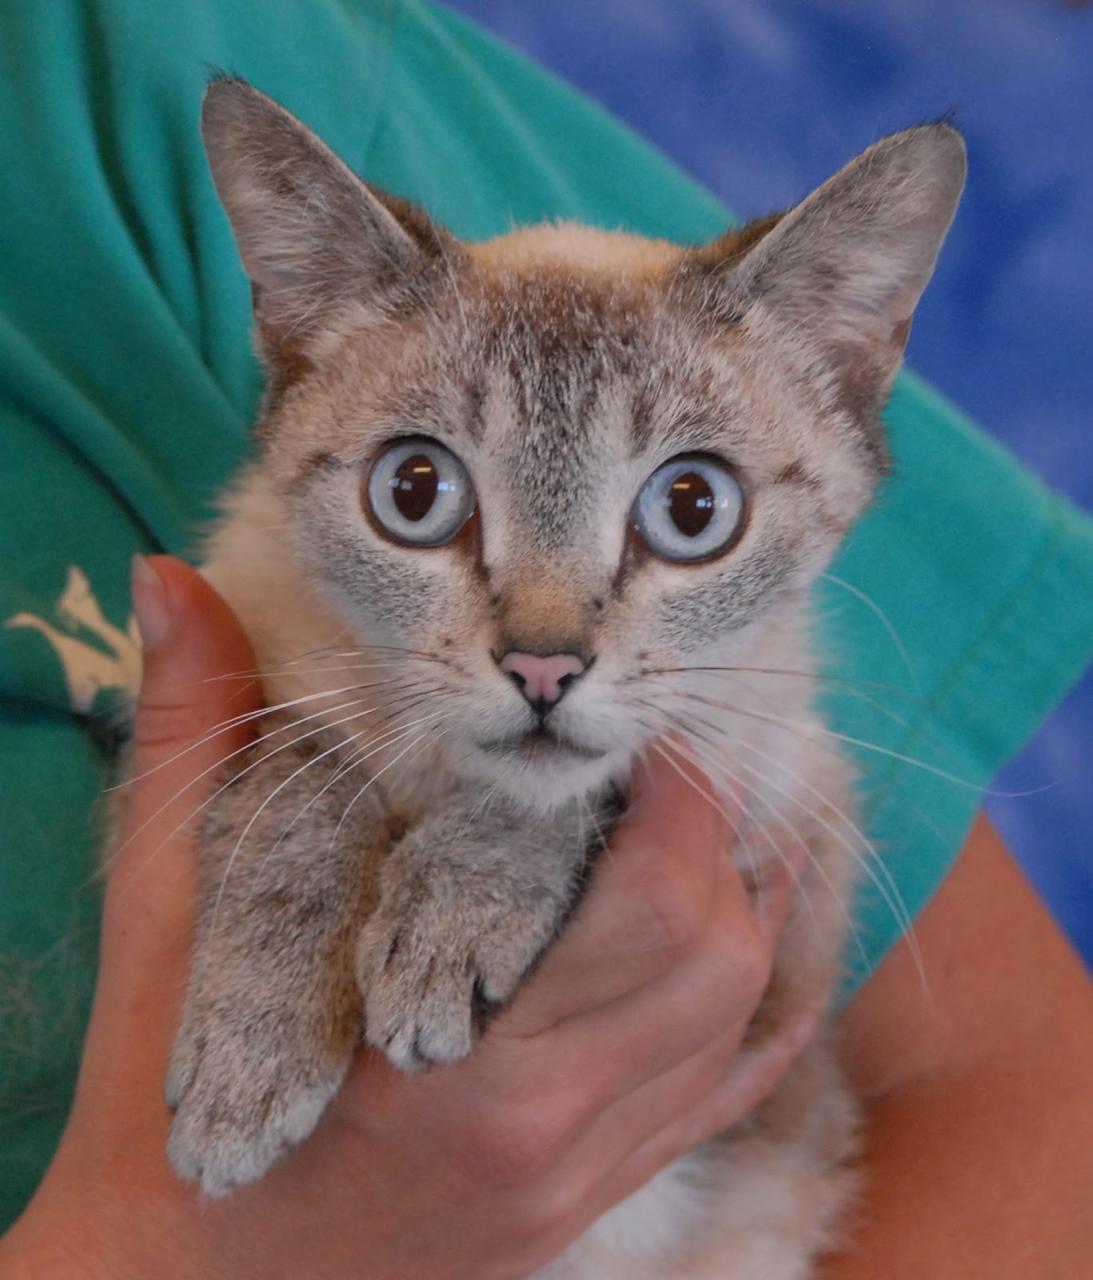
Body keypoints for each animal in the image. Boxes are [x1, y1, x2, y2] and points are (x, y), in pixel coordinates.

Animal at [162, 80, 967, 1280]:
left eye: (692, 508)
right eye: (414, 491)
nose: (542, 668)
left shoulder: (791, 859)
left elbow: (590, 784)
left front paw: (450, 919)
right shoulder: (250, 639)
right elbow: (301, 784)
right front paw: (249, 1058)